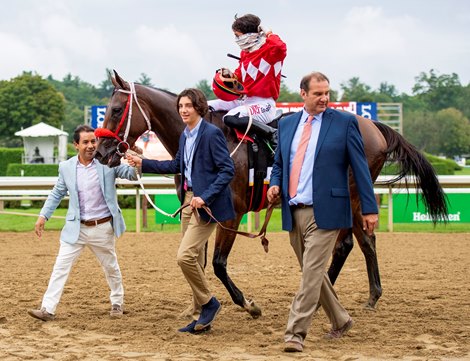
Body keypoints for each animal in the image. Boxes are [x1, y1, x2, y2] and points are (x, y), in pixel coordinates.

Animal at [92, 71, 448, 316]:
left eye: (116, 109)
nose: (101, 152)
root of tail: (373, 126)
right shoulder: (197, 209)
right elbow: (199, 261)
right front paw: (198, 307)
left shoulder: (230, 212)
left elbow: (218, 263)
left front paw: (247, 304)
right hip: (357, 196)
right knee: (364, 240)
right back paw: (369, 295)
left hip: (346, 193)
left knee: (346, 243)